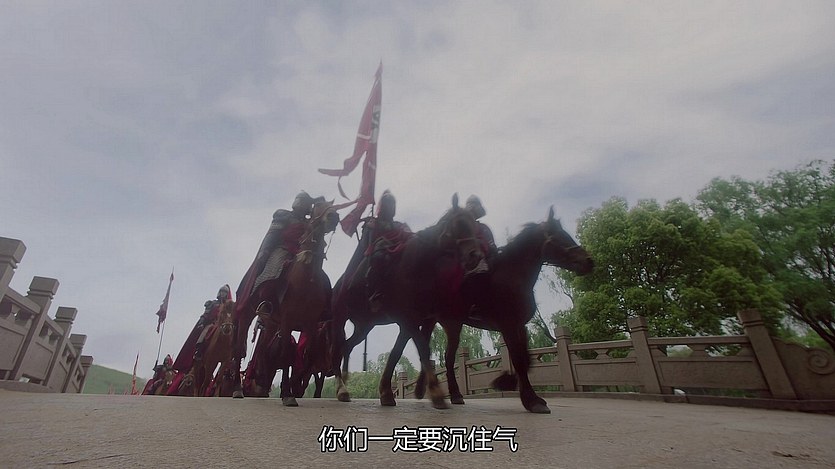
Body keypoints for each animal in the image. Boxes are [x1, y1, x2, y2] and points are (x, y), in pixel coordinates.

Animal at [332, 194, 484, 409]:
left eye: (473, 224)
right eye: (459, 224)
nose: (475, 256)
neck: (419, 266)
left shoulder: (418, 319)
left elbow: (399, 352)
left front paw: (387, 393)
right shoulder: (407, 318)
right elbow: (422, 348)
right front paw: (436, 393)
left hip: (364, 326)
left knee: (347, 346)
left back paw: (344, 382)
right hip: (339, 318)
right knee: (337, 349)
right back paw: (342, 389)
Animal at [414, 207, 594, 413]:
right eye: (558, 236)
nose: (589, 261)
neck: (513, 277)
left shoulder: (520, 325)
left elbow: (525, 359)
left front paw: (508, 382)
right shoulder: (507, 325)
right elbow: (518, 358)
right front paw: (532, 400)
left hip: (453, 324)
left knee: (448, 357)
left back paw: (454, 395)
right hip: (433, 319)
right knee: (427, 348)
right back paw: (425, 390)